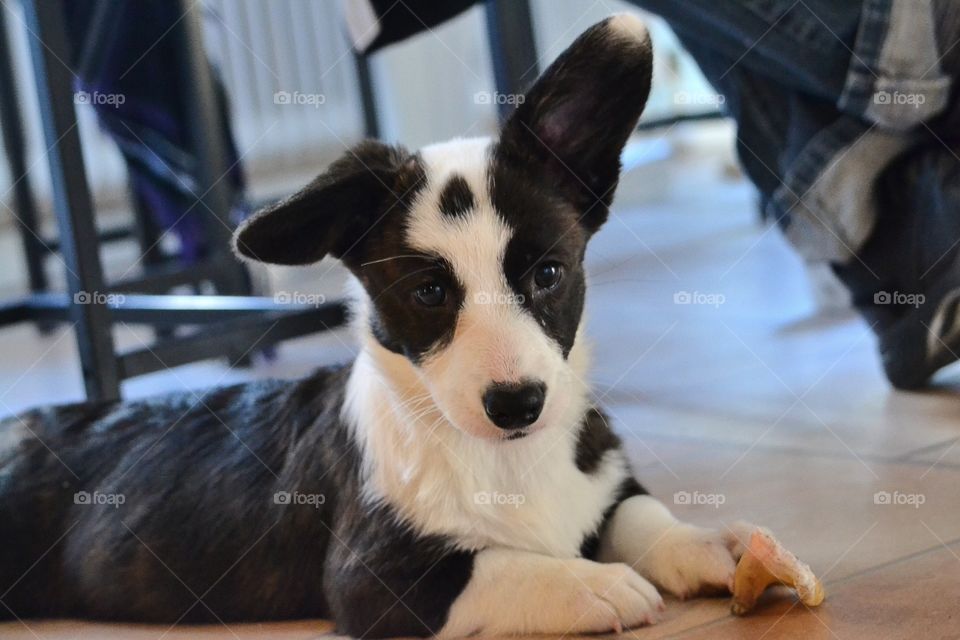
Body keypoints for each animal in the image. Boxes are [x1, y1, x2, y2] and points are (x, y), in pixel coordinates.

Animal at [0, 16, 752, 640]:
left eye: (547, 274)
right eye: (429, 293)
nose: (518, 405)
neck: (504, 457)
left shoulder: (606, 485)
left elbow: (641, 514)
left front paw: (712, 545)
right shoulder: (378, 580)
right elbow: (498, 565)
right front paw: (593, 584)